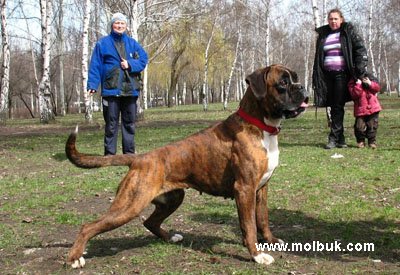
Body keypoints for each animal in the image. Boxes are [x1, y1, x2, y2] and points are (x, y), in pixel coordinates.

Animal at [66, 64, 310, 268]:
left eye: (296, 79)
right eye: (283, 83)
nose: (302, 87)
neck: (259, 124)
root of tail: (140, 158)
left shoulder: (261, 189)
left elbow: (262, 219)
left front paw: (270, 240)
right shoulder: (245, 189)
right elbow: (249, 225)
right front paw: (256, 255)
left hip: (172, 198)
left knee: (150, 222)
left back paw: (170, 237)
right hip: (130, 205)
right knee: (88, 226)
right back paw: (75, 258)